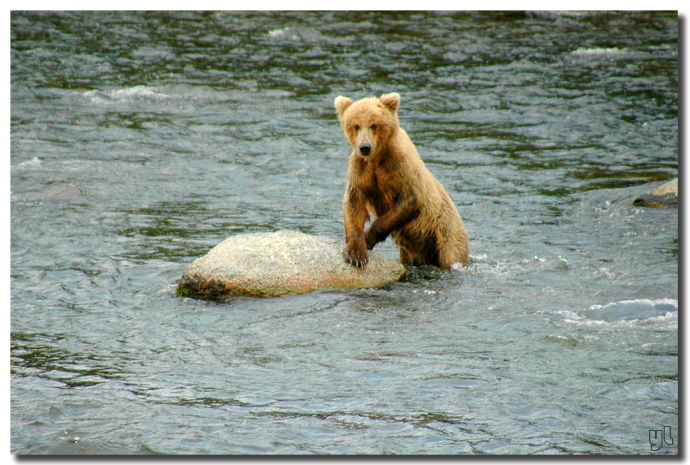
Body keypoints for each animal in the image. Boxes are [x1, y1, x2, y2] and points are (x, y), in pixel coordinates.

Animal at [332, 91, 468, 270]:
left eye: (374, 125)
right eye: (356, 125)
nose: (365, 147)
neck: (377, 158)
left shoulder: (400, 167)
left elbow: (410, 199)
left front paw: (368, 238)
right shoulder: (360, 169)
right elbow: (354, 203)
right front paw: (356, 254)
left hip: (445, 233)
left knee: (450, 255)